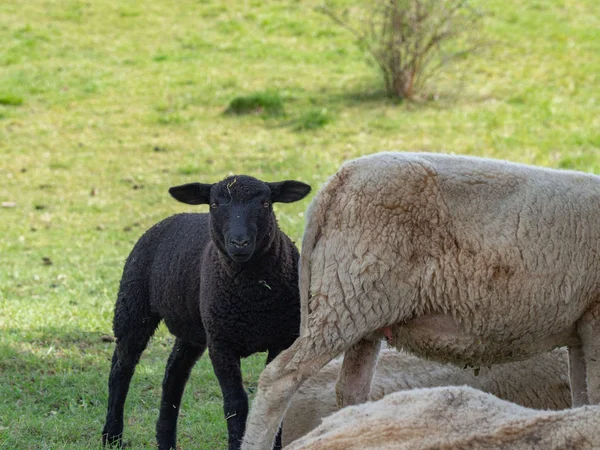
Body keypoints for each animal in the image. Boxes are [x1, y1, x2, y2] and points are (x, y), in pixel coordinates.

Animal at [101, 176, 312, 450]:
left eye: (265, 203)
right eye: (214, 204)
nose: (239, 243)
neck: (254, 298)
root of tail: (174, 217)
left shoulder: (283, 340)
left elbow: (275, 396)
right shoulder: (221, 344)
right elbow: (235, 404)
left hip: (193, 330)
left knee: (173, 374)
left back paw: (165, 440)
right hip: (133, 306)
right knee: (121, 369)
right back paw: (112, 436)